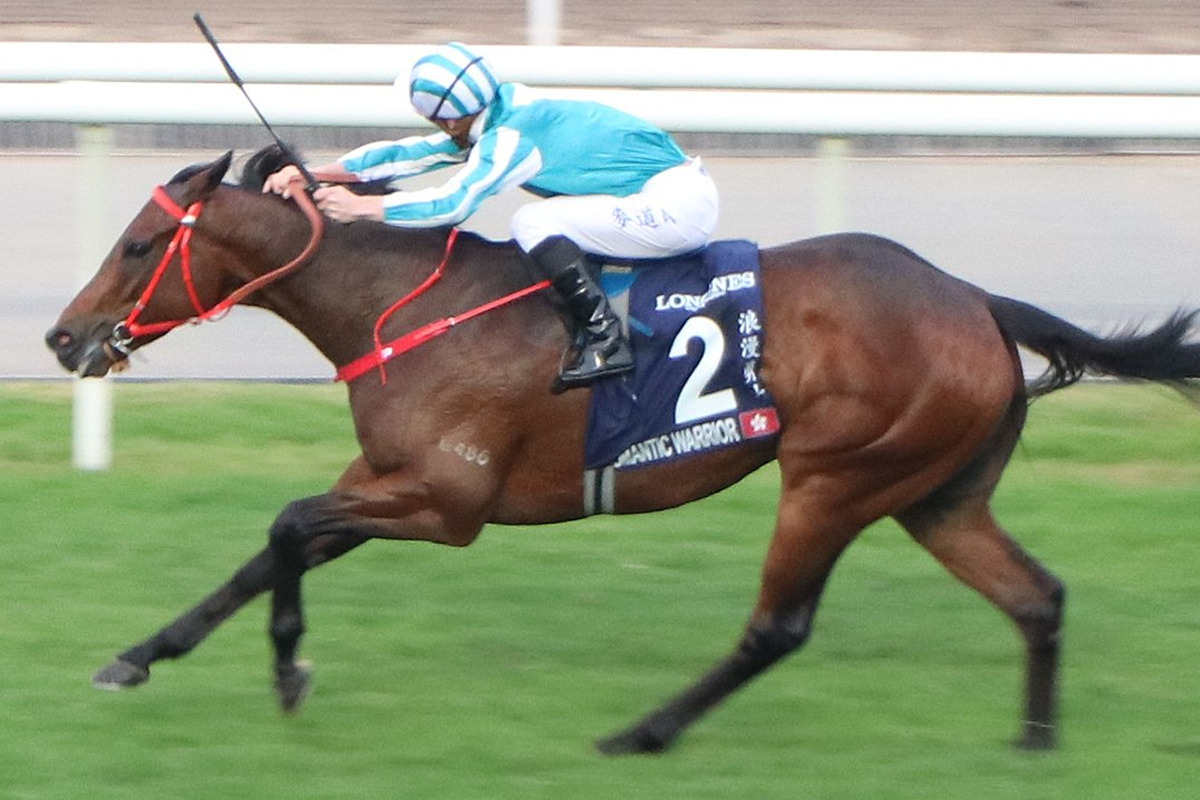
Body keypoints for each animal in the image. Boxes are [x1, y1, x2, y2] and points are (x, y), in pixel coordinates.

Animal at [46, 145, 1200, 754]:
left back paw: (641, 734)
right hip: (938, 492)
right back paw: (1035, 743)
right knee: (1037, 597)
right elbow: (265, 550)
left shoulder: (445, 503)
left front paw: (289, 669)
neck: (401, 303)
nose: (62, 337)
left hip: (836, 476)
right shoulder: (389, 480)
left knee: (778, 626)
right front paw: (134, 657)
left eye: (139, 246)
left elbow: (286, 527)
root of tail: (974, 298)